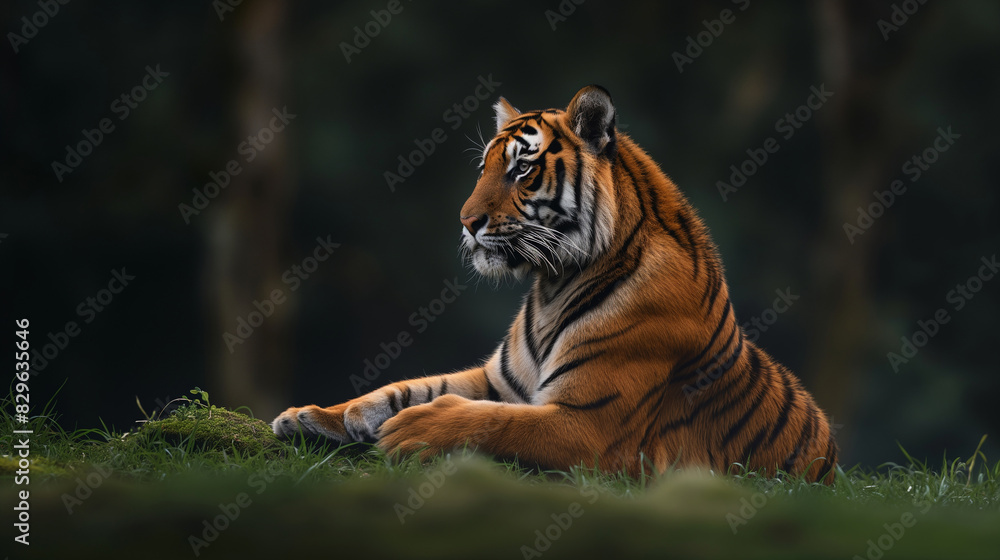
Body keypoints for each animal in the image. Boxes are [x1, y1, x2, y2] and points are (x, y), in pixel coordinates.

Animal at [272, 85, 839, 483]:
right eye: (483, 168)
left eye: (521, 170)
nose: (466, 222)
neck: (552, 286)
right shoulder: (499, 381)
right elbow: (406, 388)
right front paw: (313, 415)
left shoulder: (588, 425)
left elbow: (489, 420)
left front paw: (412, 429)